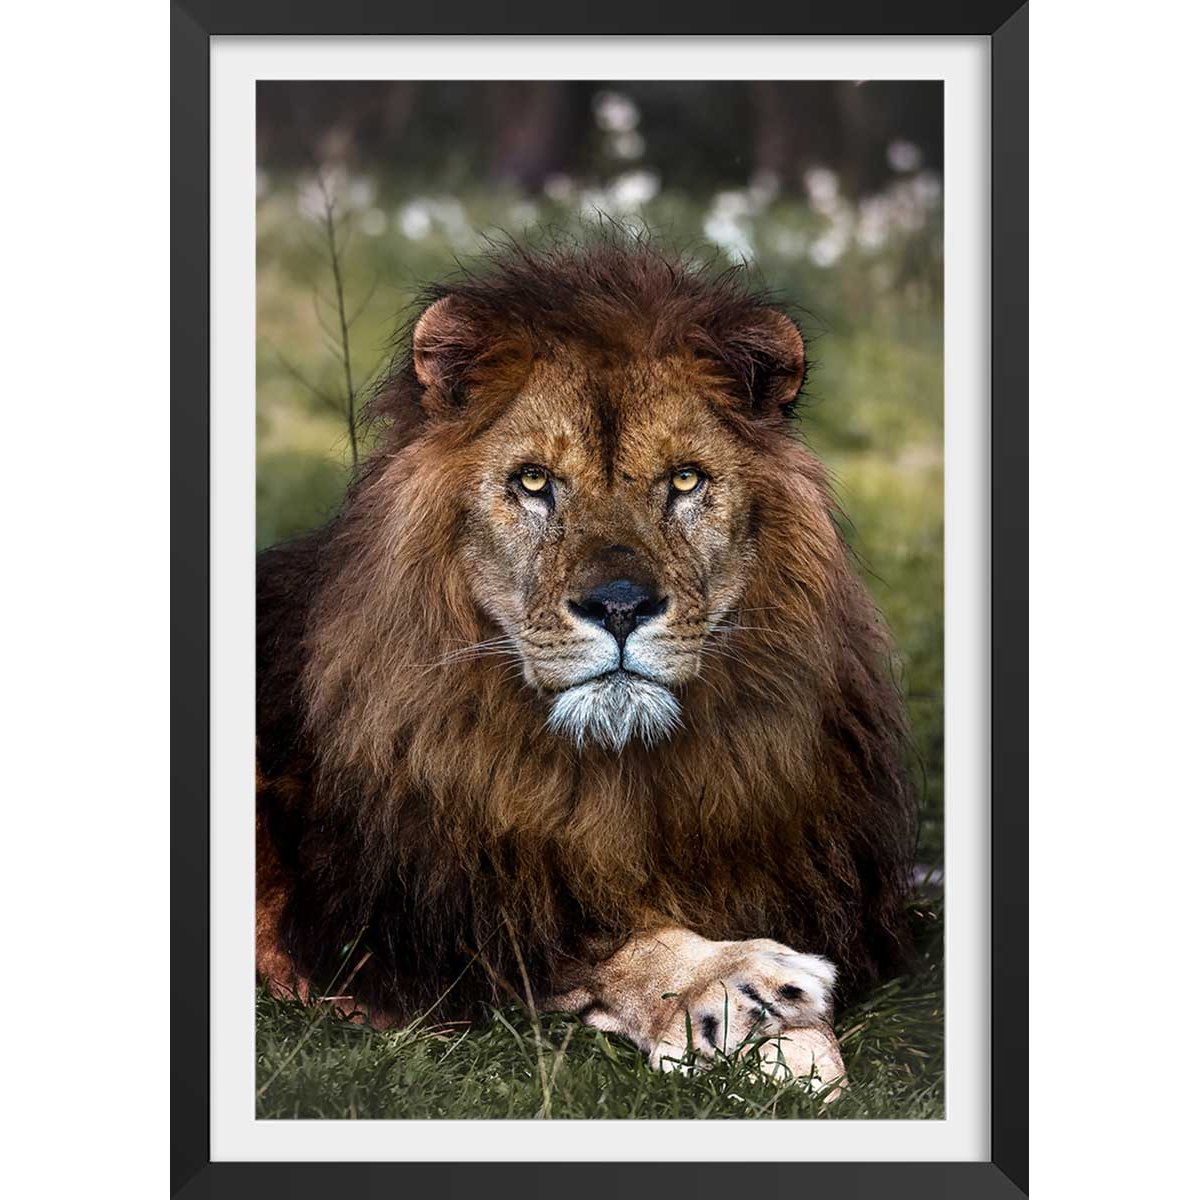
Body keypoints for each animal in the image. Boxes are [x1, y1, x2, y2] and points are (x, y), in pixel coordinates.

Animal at [256, 237, 917, 1089]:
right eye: (535, 481)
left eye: (685, 479)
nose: (620, 606)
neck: (617, 773)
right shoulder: (392, 928)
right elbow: (596, 944)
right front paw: (742, 995)